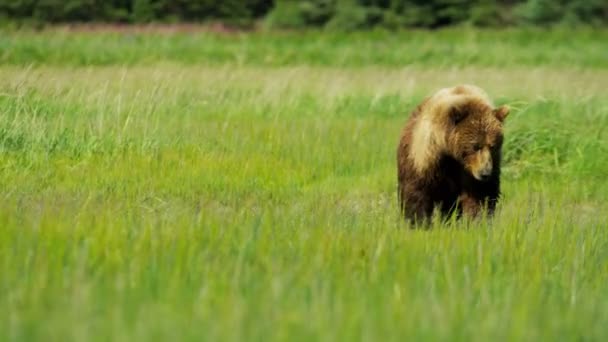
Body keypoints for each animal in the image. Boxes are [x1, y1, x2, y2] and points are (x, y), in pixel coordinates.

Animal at [396, 85, 510, 224]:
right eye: (475, 146)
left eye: (493, 146)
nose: (485, 173)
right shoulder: (425, 159)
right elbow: (417, 193)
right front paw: (418, 222)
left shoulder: (473, 172)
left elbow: (480, 195)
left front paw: (477, 221)